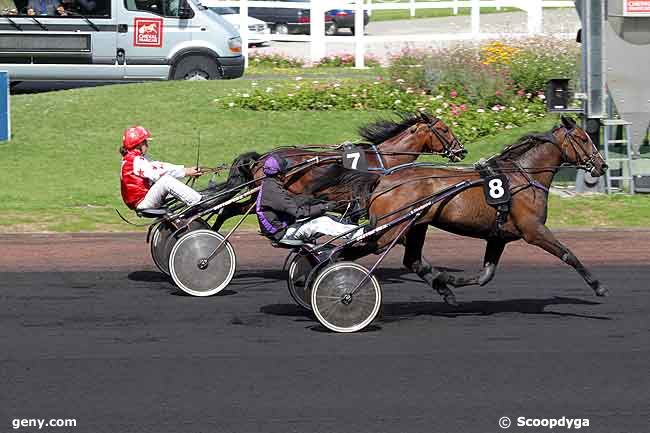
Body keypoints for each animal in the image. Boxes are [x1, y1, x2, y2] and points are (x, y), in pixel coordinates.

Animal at [210, 112, 464, 230]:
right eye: (444, 129)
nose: (462, 150)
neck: (382, 158)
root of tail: (262, 158)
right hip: (265, 195)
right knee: (230, 210)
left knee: (228, 209)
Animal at [332, 115, 612, 304]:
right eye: (583, 139)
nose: (602, 165)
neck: (523, 176)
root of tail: (382, 180)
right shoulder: (533, 230)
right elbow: (568, 254)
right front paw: (599, 286)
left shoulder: (498, 237)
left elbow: (485, 275)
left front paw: (448, 279)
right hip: (390, 230)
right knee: (351, 250)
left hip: (416, 226)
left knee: (412, 260)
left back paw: (444, 290)